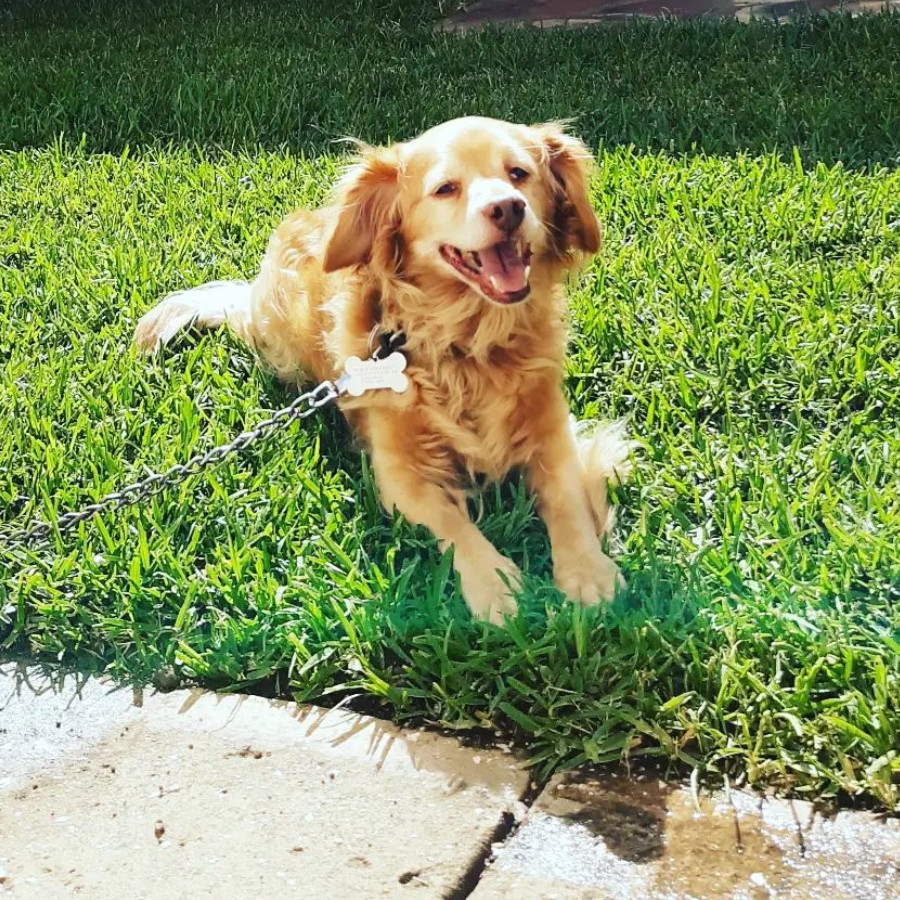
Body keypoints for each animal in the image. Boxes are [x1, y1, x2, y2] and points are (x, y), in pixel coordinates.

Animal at [139, 116, 632, 624]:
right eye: (446, 188)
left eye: (519, 174)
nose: (508, 208)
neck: (467, 342)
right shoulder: (401, 476)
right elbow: (456, 527)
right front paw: (496, 585)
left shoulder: (553, 435)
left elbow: (567, 500)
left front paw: (588, 572)